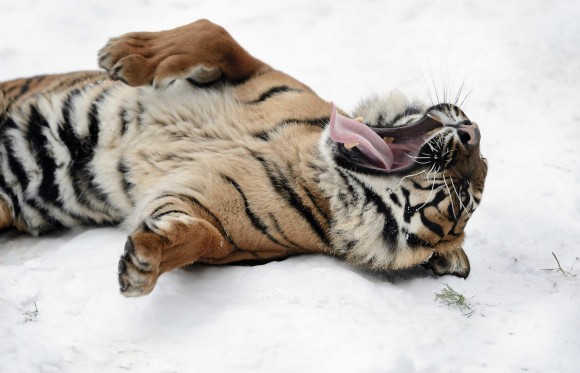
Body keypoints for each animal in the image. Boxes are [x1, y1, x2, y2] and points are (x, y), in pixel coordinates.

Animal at [1, 18, 484, 296]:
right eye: (472, 178)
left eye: (463, 197)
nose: (470, 134)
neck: (318, 167)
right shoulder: (258, 71)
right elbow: (214, 34)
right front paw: (124, 52)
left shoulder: (215, 220)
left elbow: (200, 237)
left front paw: (143, 263)